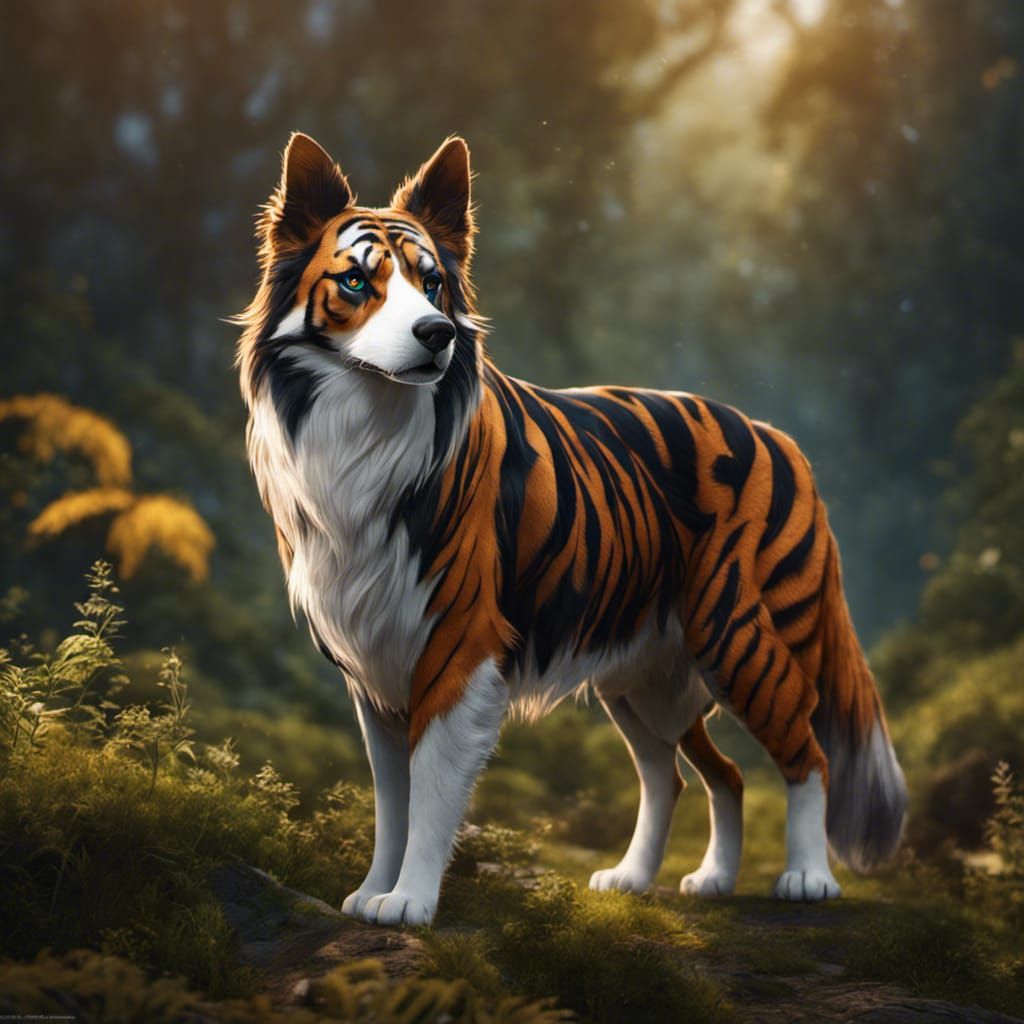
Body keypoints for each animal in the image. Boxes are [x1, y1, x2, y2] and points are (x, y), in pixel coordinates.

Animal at [235, 132, 908, 926]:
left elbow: (429, 793)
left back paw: (807, 879)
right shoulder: (374, 662)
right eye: (358, 282)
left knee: (807, 756)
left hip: (743, 637)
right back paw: (665, 879)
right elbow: (391, 799)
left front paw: (410, 903)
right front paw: (373, 891)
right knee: (698, 774)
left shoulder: (458, 643)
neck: (366, 428)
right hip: (645, 676)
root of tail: (776, 435)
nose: (436, 333)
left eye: (433, 286)